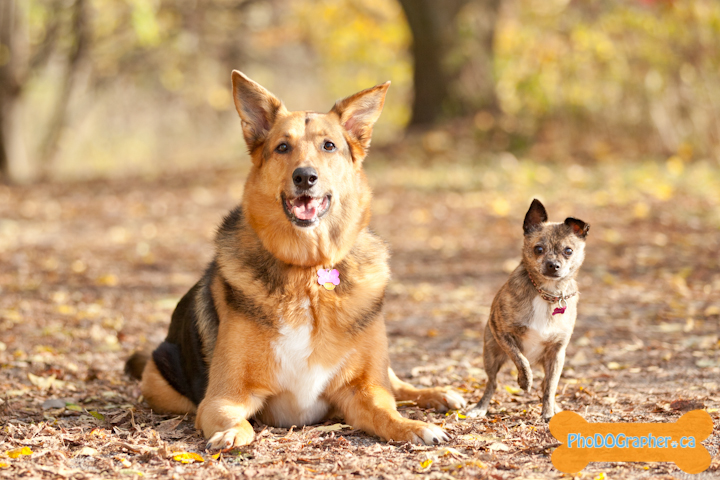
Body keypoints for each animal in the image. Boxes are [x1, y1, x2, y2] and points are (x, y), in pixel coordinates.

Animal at [126, 72, 466, 450]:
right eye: (282, 147)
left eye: (329, 146)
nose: (305, 177)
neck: (308, 271)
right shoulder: (223, 399)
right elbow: (237, 421)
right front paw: (232, 433)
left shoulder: (365, 390)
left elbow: (388, 413)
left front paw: (415, 426)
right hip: (158, 381)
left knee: (399, 384)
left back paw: (439, 394)